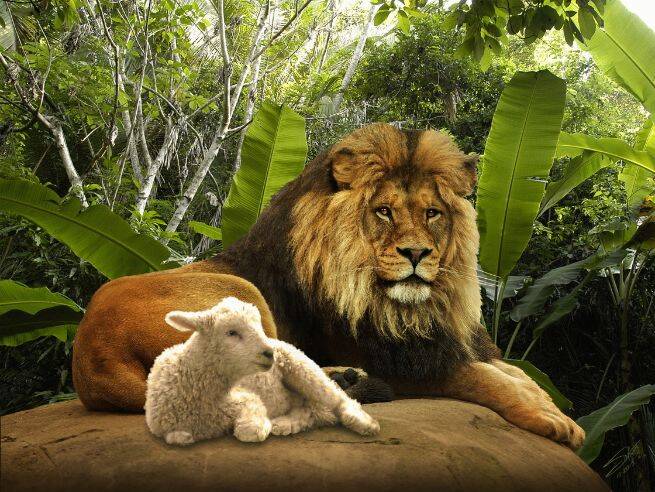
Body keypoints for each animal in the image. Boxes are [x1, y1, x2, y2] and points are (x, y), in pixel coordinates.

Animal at [145, 296, 380, 445]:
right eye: (231, 332)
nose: (269, 353)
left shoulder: (246, 398)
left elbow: (250, 430)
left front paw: (257, 426)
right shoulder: (161, 426)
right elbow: (176, 437)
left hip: (302, 367)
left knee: (337, 399)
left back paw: (365, 424)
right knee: (311, 409)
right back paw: (286, 424)